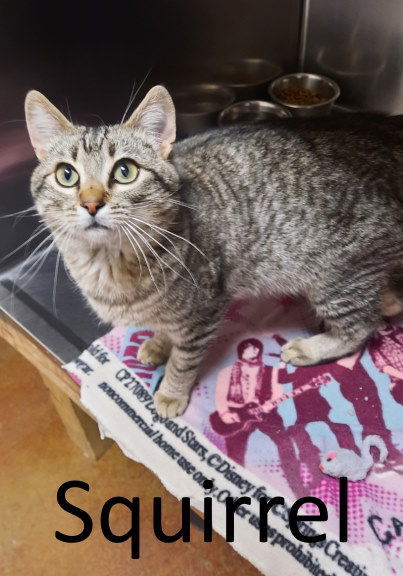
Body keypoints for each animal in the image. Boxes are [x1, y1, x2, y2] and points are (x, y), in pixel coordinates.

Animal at [24, 85, 403, 416]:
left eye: (125, 171)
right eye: (66, 175)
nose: (91, 203)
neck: (110, 266)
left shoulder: (204, 311)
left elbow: (183, 361)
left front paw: (171, 393)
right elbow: (164, 327)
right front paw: (158, 343)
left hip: (336, 278)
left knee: (360, 327)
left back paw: (312, 347)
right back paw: (389, 298)